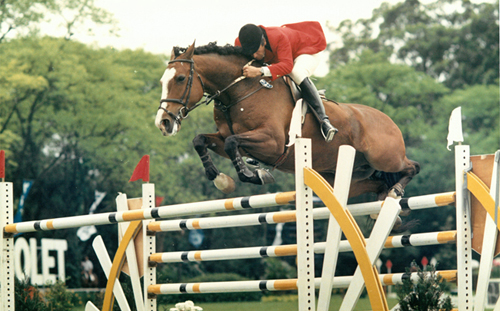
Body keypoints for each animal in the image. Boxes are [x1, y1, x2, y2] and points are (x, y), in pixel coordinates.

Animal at [154, 42, 420, 204]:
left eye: (180, 78)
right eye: (162, 81)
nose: (163, 122)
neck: (240, 92)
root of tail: (389, 121)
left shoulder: (272, 143)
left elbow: (232, 143)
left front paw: (254, 175)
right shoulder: (223, 138)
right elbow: (201, 140)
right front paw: (220, 179)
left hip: (385, 157)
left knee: (412, 166)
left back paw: (395, 191)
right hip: (345, 175)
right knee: (376, 183)